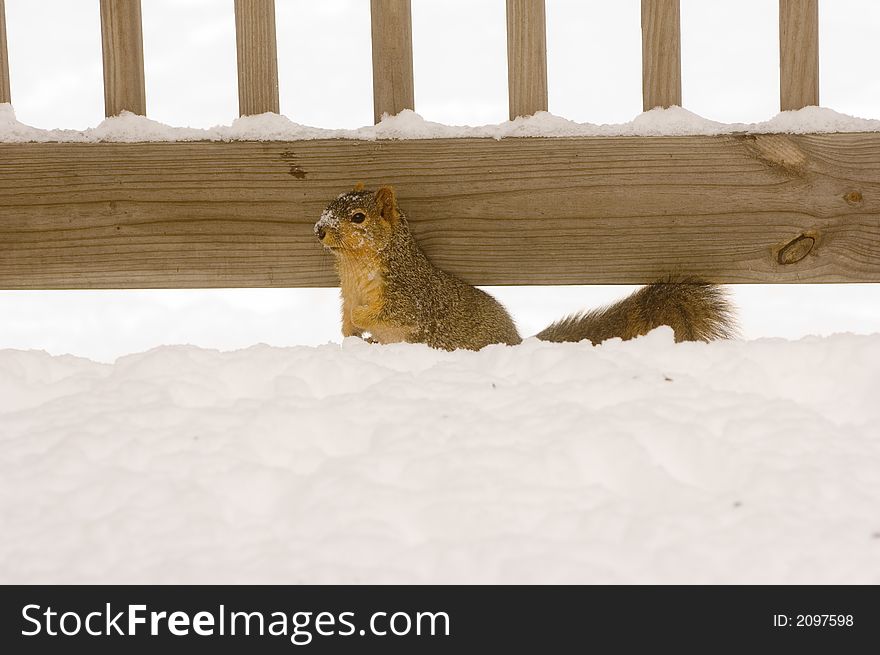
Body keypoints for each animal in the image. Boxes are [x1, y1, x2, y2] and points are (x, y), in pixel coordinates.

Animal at [316, 184, 736, 354]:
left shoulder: (409, 296)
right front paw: (351, 334)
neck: (355, 270)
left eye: (358, 217)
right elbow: (346, 318)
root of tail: (517, 343)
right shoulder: (346, 294)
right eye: (330, 205)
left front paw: (363, 321)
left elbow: (391, 314)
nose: (319, 229)